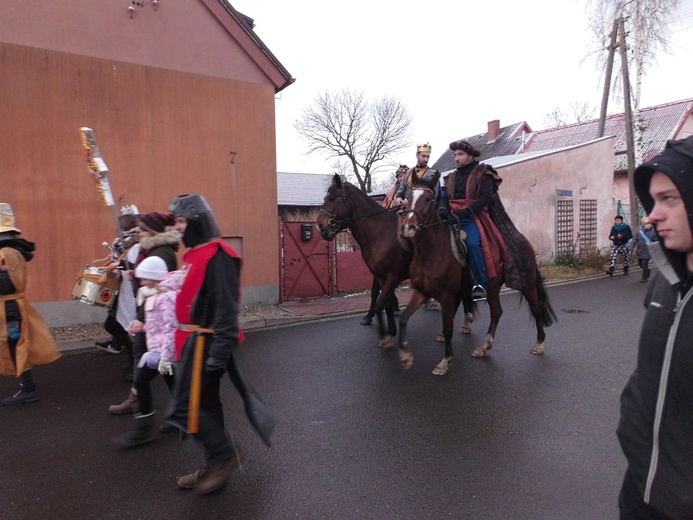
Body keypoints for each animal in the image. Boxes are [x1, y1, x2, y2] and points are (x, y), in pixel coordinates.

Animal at [314, 173, 408, 348]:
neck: (382, 233)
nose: (320, 227)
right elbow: (381, 297)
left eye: (333, 198)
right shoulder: (379, 274)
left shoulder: (391, 275)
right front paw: (383, 324)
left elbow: (382, 297)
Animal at [400, 181, 556, 376]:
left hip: (527, 285)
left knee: (536, 310)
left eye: (428, 199)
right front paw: (405, 356)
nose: (408, 228)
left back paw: (539, 344)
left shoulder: (447, 296)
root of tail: (524, 241)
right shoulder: (422, 292)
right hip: (493, 288)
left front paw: (445, 361)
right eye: (408, 197)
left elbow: (448, 328)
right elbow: (403, 318)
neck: (431, 252)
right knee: (497, 312)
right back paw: (483, 346)